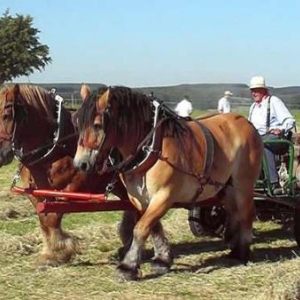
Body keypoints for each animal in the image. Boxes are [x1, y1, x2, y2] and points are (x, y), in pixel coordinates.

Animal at [0, 83, 135, 266]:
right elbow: (44, 218)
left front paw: (59, 250)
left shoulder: (75, 187)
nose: (0, 155)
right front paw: (51, 251)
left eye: (6, 115)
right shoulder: (35, 192)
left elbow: (53, 217)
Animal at [74, 85, 264, 282]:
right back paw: (233, 247)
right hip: (225, 186)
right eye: (78, 123)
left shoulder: (165, 195)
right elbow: (153, 227)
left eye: (97, 125)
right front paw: (162, 259)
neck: (152, 147)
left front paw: (128, 266)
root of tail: (247, 123)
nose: (80, 164)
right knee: (233, 211)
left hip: (243, 184)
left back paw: (243, 251)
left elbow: (141, 228)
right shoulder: (140, 199)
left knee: (246, 213)